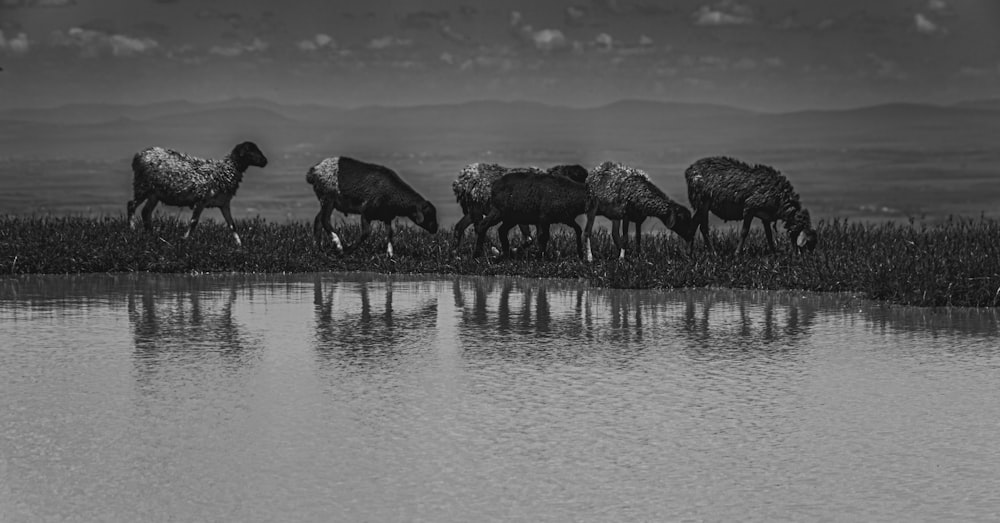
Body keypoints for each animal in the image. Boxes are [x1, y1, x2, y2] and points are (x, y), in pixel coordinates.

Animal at [127, 141, 268, 248]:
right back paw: (132, 229)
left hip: (154, 193)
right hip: (142, 186)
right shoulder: (201, 200)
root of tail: (139, 155)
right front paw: (185, 239)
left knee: (146, 212)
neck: (224, 171)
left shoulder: (224, 203)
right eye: (250, 151)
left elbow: (232, 225)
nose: (265, 161)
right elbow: (194, 222)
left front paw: (239, 244)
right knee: (131, 205)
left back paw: (150, 234)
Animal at [304, 156, 438, 258]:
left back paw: (317, 248)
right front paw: (347, 251)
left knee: (318, 220)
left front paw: (390, 255)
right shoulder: (366, 212)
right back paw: (338, 245)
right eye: (428, 215)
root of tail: (313, 171)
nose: (435, 229)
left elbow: (390, 233)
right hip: (328, 197)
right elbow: (366, 233)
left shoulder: (387, 215)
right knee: (324, 220)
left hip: (327, 200)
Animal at [452, 162, 588, 250]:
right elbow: (531, 238)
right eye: (580, 178)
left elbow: (536, 238)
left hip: (474, 209)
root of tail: (461, 180)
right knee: (476, 227)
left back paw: (456, 252)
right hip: (476, 208)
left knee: (460, 226)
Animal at [688, 156, 820, 254]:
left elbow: (769, 235)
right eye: (808, 243)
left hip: (701, 204)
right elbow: (744, 232)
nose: (802, 258)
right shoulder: (749, 207)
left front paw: (774, 253)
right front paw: (737, 253)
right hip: (702, 201)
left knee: (693, 224)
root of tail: (690, 170)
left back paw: (690, 252)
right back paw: (713, 252)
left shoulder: (766, 216)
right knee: (703, 227)